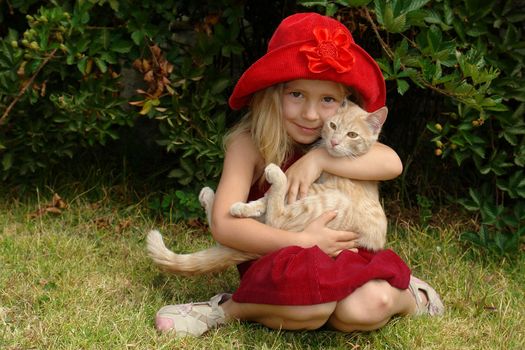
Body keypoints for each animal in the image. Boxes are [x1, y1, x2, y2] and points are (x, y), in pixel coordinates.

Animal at [147, 100, 388, 276]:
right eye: (333, 126)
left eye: (352, 135)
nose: (334, 142)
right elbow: (264, 199)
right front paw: (247, 207)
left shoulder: (320, 190)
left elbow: (273, 200)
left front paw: (250, 204)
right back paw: (212, 199)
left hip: (331, 203)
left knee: (276, 220)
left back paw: (273, 176)